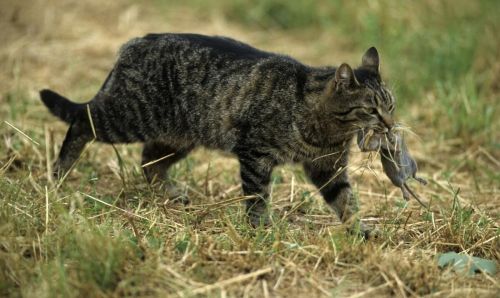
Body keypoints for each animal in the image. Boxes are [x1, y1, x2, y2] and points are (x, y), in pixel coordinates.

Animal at [41, 33, 396, 237]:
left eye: (391, 105)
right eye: (372, 110)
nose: (391, 125)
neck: (328, 131)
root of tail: (134, 43)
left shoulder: (328, 167)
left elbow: (346, 201)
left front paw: (360, 229)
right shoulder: (255, 154)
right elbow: (257, 197)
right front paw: (260, 230)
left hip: (177, 138)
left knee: (149, 162)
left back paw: (169, 195)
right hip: (128, 117)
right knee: (82, 122)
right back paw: (59, 173)